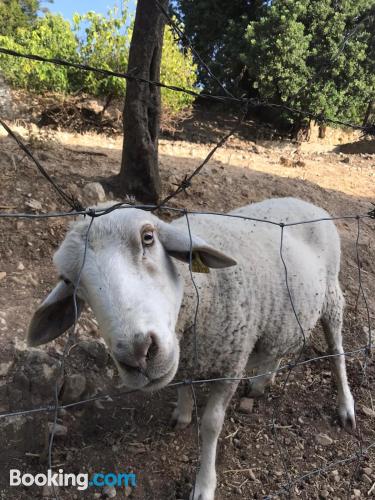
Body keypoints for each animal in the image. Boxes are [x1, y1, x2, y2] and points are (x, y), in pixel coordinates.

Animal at [27, 197, 356, 498]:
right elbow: (182, 386)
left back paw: (346, 407)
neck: (198, 292)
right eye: (69, 282)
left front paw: (204, 485)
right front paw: (182, 414)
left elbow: (211, 425)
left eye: (148, 237)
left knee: (338, 354)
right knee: (279, 348)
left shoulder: (232, 360)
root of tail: (306, 202)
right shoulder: (186, 356)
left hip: (332, 297)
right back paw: (263, 381)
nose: (138, 355)